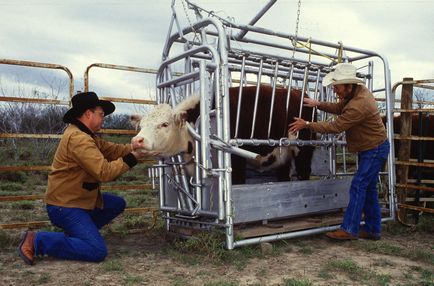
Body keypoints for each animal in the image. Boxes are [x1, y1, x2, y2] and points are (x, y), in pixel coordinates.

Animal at [132, 85, 316, 184]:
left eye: (165, 124)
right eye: (141, 125)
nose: (137, 141)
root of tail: (300, 93)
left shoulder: (236, 158)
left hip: (304, 149)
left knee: (304, 171)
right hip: (282, 152)